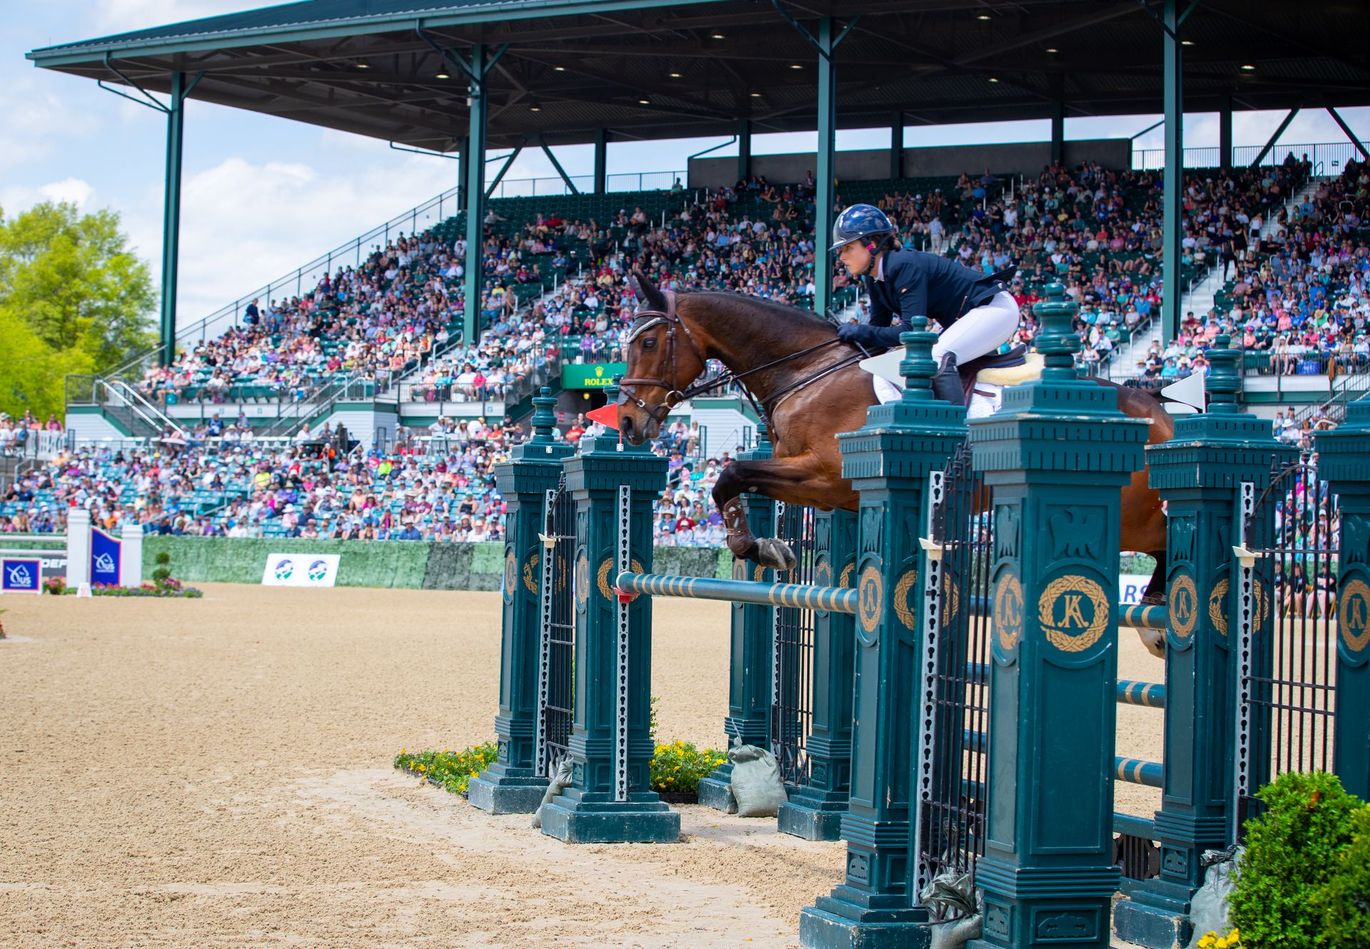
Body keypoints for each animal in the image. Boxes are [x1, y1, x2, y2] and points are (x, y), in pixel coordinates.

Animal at [616, 269, 1172, 597]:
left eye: (648, 342)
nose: (625, 422)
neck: (809, 371)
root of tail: (1159, 407)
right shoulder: (820, 486)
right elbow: (734, 481)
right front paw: (760, 545)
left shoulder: (828, 476)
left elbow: (730, 472)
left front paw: (758, 547)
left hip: (1131, 517)